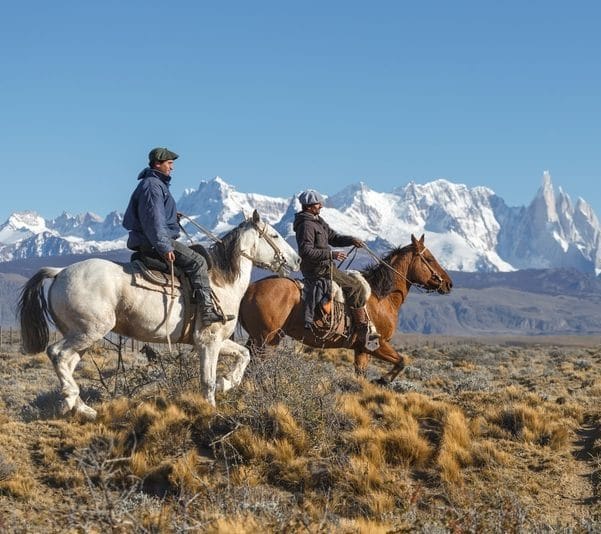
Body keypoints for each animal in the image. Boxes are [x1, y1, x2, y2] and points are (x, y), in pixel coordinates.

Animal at [18, 211, 300, 420]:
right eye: (274, 234)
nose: (296, 260)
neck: (221, 282)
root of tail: (59, 272)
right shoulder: (208, 341)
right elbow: (207, 380)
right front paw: (212, 407)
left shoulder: (216, 341)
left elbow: (243, 355)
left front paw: (227, 382)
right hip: (89, 331)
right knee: (57, 353)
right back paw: (70, 398)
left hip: (82, 335)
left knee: (67, 362)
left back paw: (83, 408)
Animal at [238, 236, 450, 386]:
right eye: (430, 258)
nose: (448, 283)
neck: (381, 296)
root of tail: (249, 290)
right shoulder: (377, 344)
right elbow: (402, 361)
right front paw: (383, 379)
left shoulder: (361, 350)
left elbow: (362, 374)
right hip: (266, 340)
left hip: (258, 339)